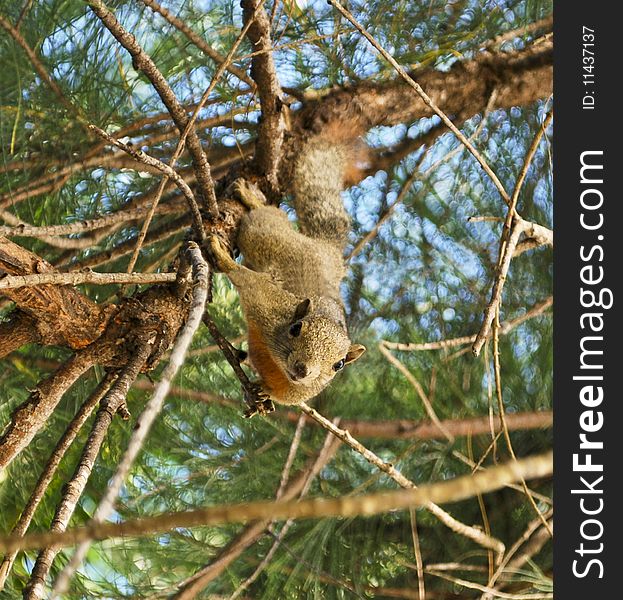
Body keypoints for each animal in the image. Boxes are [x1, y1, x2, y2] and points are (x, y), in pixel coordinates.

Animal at [210, 134, 366, 408]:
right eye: (296, 328)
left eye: (339, 365)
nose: (303, 370)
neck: (277, 366)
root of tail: (328, 251)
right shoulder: (269, 306)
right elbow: (250, 282)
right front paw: (222, 257)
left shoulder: (295, 392)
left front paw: (260, 392)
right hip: (265, 236)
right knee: (268, 216)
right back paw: (249, 197)